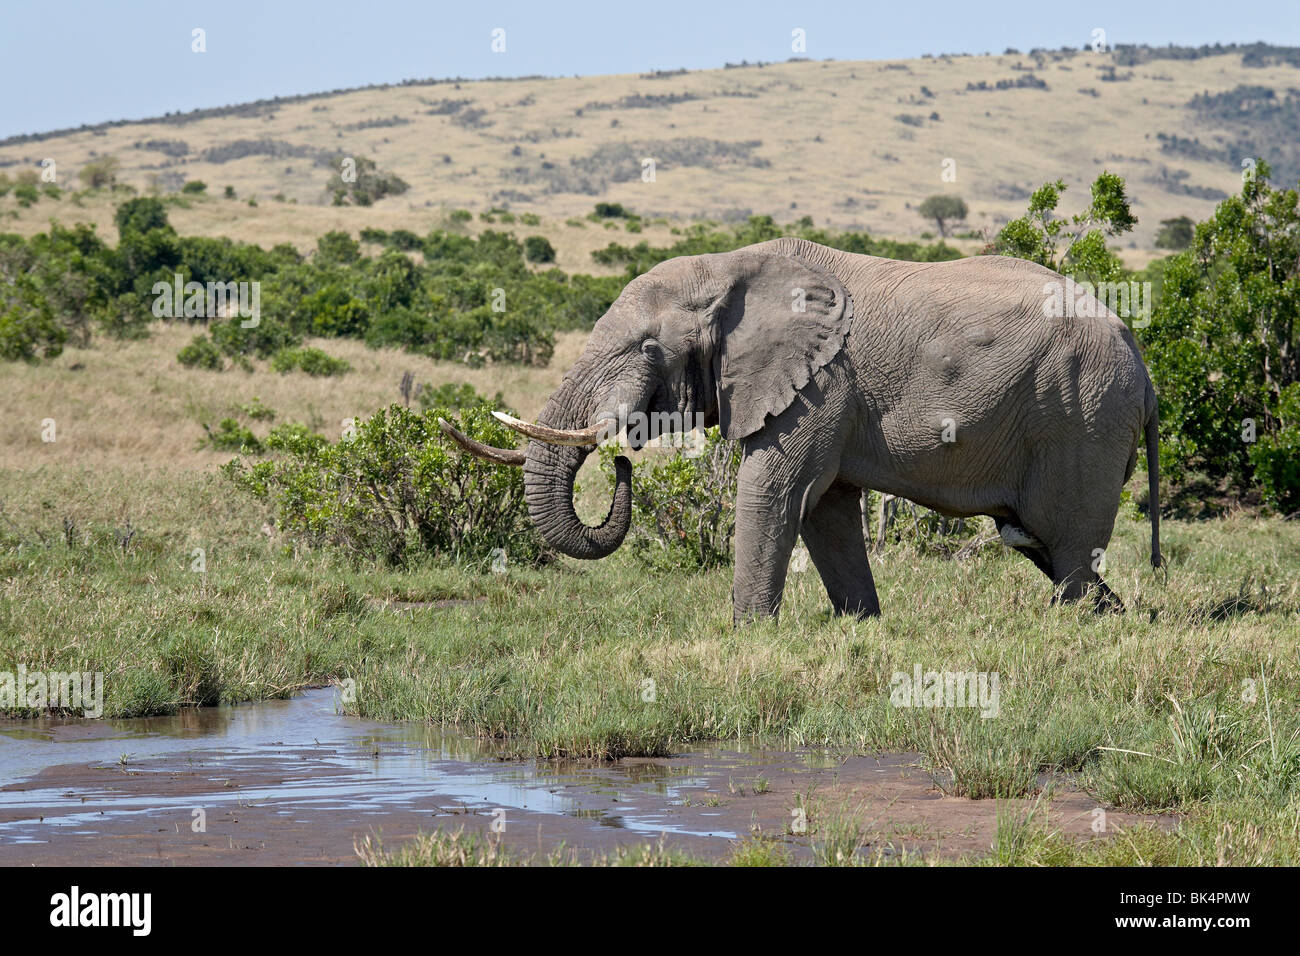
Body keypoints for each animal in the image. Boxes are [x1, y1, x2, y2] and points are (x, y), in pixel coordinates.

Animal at [441, 238, 1164, 624]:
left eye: (646, 349)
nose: (620, 456)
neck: (728, 268)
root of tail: (1144, 362)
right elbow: (826, 511)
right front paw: (861, 627)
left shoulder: (821, 383)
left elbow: (773, 491)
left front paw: (744, 636)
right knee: (1044, 545)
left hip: (1082, 416)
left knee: (1067, 549)